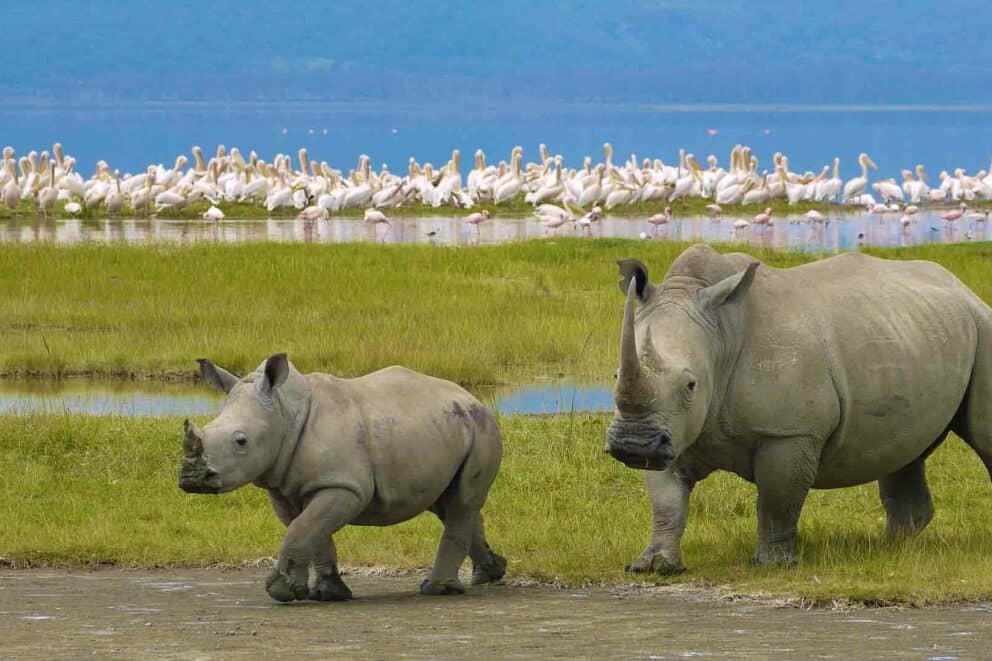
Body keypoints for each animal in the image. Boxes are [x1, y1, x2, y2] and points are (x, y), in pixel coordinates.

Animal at [179, 354, 506, 602]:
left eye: (241, 441)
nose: (190, 479)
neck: (285, 413)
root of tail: (473, 398)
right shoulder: (286, 488)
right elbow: (310, 531)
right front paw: (326, 594)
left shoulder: (344, 485)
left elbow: (302, 529)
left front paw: (280, 592)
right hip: (445, 427)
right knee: (448, 503)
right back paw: (489, 572)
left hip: (481, 428)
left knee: (461, 501)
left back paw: (437, 589)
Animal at [605, 244, 992, 572]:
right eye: (615, 375)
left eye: (690, 385)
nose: (633, 444)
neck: (721, 335)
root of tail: (963, 288)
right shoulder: (672, 430)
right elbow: (666, 500)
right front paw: (653, 566)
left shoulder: (789, 433)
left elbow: (777, 500)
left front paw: (772, 565)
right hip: (911, 333)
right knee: (903, 448)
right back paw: (891, 548)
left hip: (982, 325)